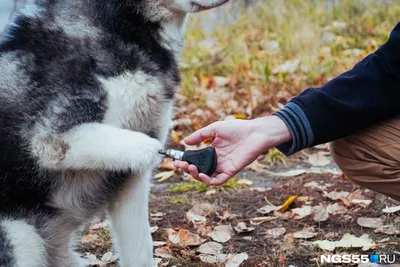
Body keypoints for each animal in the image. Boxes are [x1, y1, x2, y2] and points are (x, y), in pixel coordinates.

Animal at [0, 0, 228, 266]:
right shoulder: (50, 139)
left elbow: (141, 250)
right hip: (21, 239)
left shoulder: (130, 178)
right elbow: (148, 146)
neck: (116, 26)